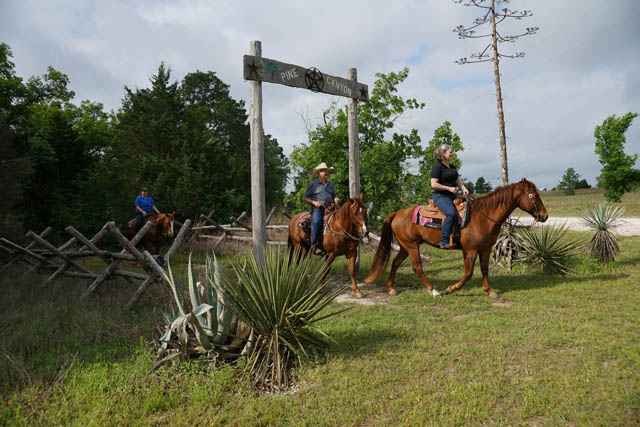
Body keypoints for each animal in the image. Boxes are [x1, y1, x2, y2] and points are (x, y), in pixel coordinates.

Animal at [364, 179, 552, 300]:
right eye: (535, 195)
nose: (545, 216)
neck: (483, 216)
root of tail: (397, 214)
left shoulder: (485, 249)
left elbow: (484, 269)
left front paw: (489, 291)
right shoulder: (470, 250)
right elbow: (468, 273)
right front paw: (450, 289)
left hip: (405, 246)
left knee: (395, 263)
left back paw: (391, 288)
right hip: (411, 246)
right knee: (417, 268)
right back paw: (434, 292)